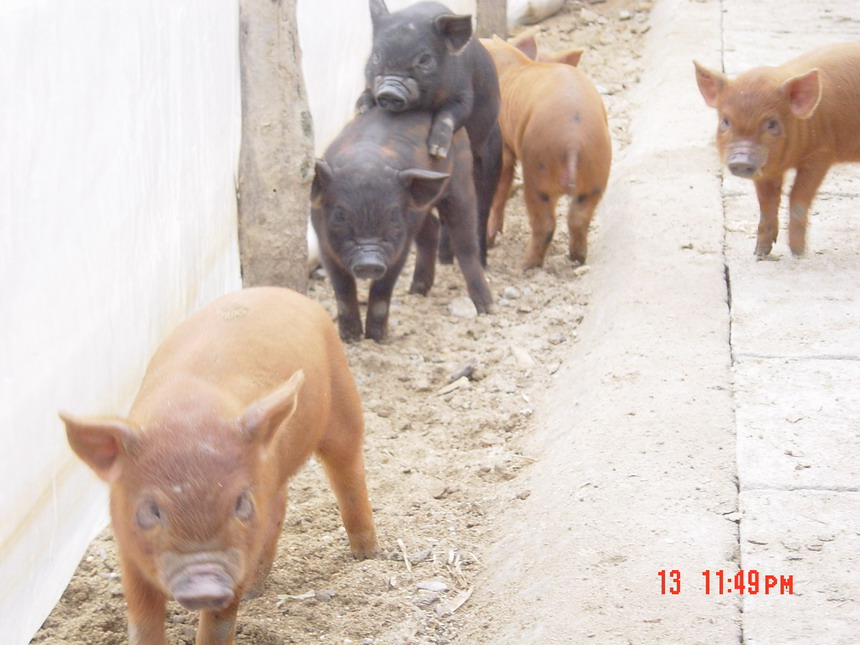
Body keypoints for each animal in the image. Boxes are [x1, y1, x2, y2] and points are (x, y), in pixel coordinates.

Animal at [60, 287, 377, 645]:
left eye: (241, 504)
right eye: (152, 510)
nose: (204, 583)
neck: (188, 412)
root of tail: (281, 292)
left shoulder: (236, 550)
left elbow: (219, 624)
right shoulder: (128, 548)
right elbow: (142, 621)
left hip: (343, 399)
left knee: (348, 470)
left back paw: (367, 556)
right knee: (280, 506)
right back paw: (255, 592)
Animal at [311, 107, 493, 343]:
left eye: (393, 215)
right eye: (340, 215)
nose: (369, 261)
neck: (366, 163)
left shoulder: (400, 247)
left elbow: (382, 288)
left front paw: (377, 339)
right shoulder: (324, 244)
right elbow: (342, 288)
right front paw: (350, 338)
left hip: (462, 180)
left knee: (465, 243)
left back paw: (486, 308)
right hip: (422, 210)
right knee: (431, 230)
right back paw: (417, 291)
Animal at [356, 0, 502, 265]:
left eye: (424, 59)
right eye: (377, 56)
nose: (390, 91)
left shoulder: (464, 94)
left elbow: (451, 113)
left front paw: (437, 150)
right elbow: (364, 96)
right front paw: (363, 110)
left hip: (491, 157)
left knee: (482, 207)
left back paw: (481, 262)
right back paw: (444, 259)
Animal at [481, 35, 612, 270]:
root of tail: (573, 139)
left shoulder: (503, 145)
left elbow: (501, 184)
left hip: (538, 172)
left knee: (545, 225)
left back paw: (523, 267)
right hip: (597, 170)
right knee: (579, 218)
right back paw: (576, 258)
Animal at [694, 43, 860, 257]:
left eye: (771, 124)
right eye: (725, 121)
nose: (741, 159)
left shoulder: (821, 153)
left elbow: (798, 196)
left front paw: (798, 252)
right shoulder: (766, 168)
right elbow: (767, 202)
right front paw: (760, 253)